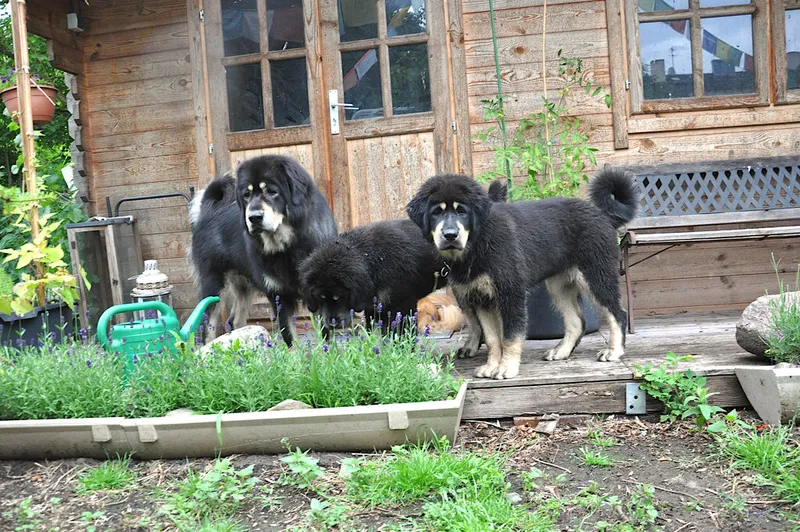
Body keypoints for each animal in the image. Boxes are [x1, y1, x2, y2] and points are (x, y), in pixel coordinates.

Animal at [189, 155, 338, 346]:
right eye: (246, 195)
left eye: (273, 192)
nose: (254, 217)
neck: (286, 246)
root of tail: (208, 209)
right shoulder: (278, 295)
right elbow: (290, 336)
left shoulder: (316, 292)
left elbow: (323, 333)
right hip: (213, 285)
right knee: (207, 327)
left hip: (242, 286)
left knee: (234, 321)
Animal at [406, 167, 639, 380]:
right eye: (436, 212)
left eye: (462, 211)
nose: (450, 235)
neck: (478, 241)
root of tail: (603, 214)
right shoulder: (482, 299)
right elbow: (492, 339)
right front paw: (491, 366)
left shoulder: (511, 293)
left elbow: (510, 336)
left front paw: (506, 368)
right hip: (559, 286)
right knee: (577, 322)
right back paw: (561, 351)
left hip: (595, 275)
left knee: (618, 313)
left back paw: (614, 351)